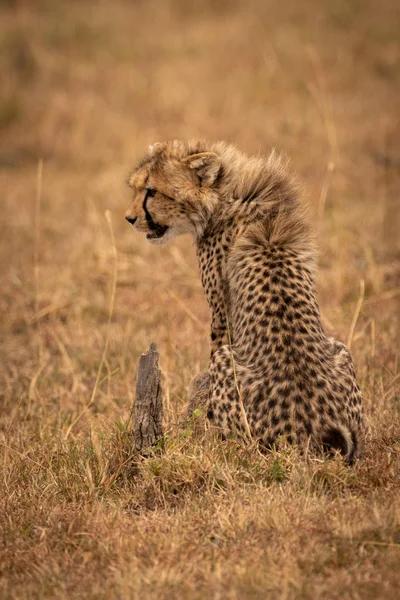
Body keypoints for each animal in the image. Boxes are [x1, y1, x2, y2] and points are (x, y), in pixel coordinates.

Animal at [126, 141, 364, 464]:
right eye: (139, 189)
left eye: (152, 191)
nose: (129, 218)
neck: (225, 195)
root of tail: (312, 431)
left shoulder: (220, 315)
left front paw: (202, 416)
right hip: (340, 349)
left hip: (229, 364)